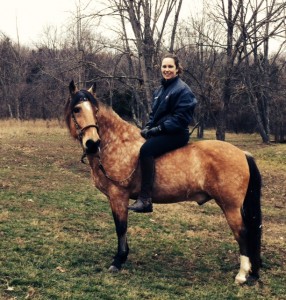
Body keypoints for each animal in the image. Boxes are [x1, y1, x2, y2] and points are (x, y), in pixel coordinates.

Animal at [64, 79, 262, 284]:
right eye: (77, 109)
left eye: (95, 110)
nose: (93, 143)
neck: (117, 144)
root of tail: (242, 153)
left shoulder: (118, 195)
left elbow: (121, 227)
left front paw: (118, 261)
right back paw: (252, 272)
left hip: (230, 206)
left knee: (243, 233)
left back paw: (242, 275)